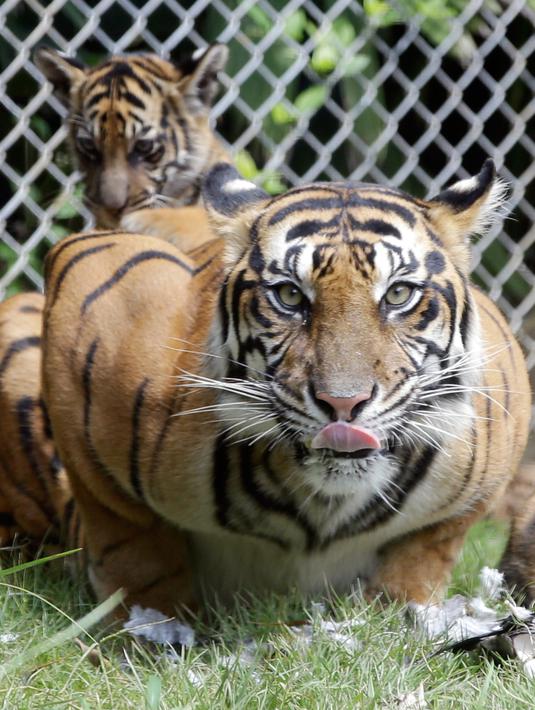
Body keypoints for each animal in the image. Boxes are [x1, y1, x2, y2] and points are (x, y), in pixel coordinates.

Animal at [0, 163, 532, 616]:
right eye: (290, 296)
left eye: (399, 294)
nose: (343, 403)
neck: (323, 509)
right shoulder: (91, 290)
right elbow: (131, 540)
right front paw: (148, 627)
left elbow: (426, 550)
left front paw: (402, 613)